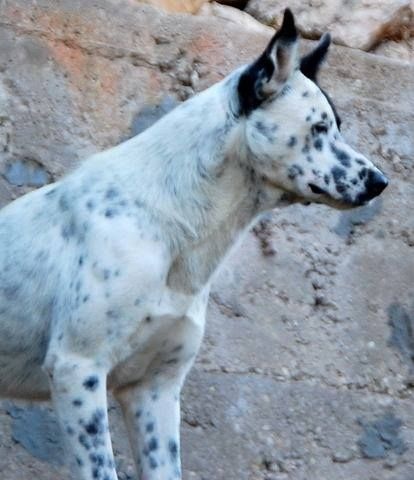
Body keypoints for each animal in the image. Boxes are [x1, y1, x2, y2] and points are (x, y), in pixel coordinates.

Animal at [0, 9, 388, 480]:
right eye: (319, 127)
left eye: (338, 126)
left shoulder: (155, 390)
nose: (381, 182)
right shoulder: (77, 369)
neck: (169, 228)